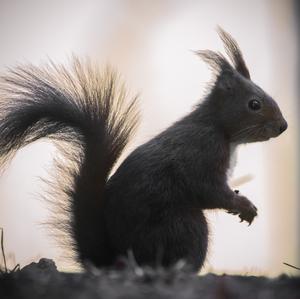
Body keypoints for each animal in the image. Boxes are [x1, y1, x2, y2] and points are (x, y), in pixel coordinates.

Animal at [0, 28, 288, 272]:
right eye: (254, 104)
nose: (283, 126)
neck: (219, 127)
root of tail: (116, 261)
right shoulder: (202, 151)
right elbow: (209, 190)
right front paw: (243, 205)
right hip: (183, 227)